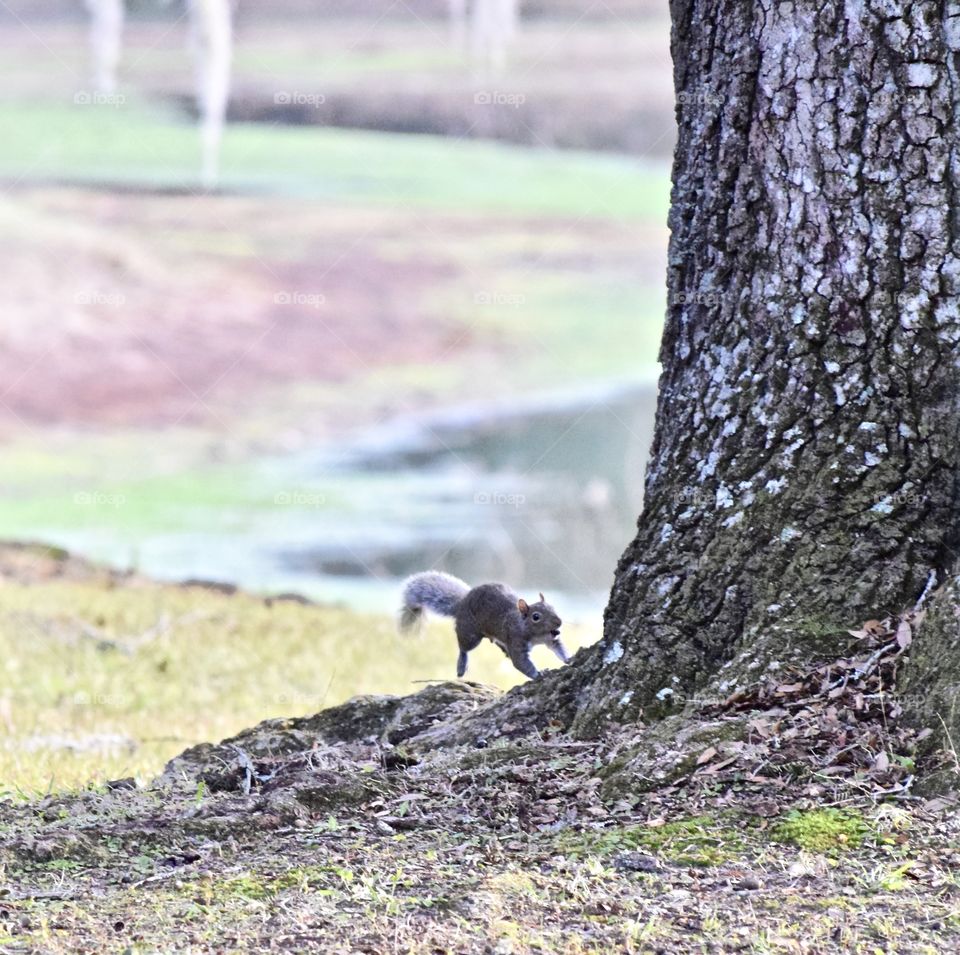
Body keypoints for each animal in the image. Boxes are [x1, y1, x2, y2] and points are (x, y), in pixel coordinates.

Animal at [399, 571, 569, 680]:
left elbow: (559, 647)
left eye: (553, 607)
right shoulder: (516, 640)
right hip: (470, 634)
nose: (559, 622)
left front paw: (568, 659)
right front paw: (538, 674)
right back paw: (461, 665)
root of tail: (462, 603)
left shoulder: (551, 639)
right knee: (463, 647)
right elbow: (521, 663)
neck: (535, 635)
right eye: (536, 617)